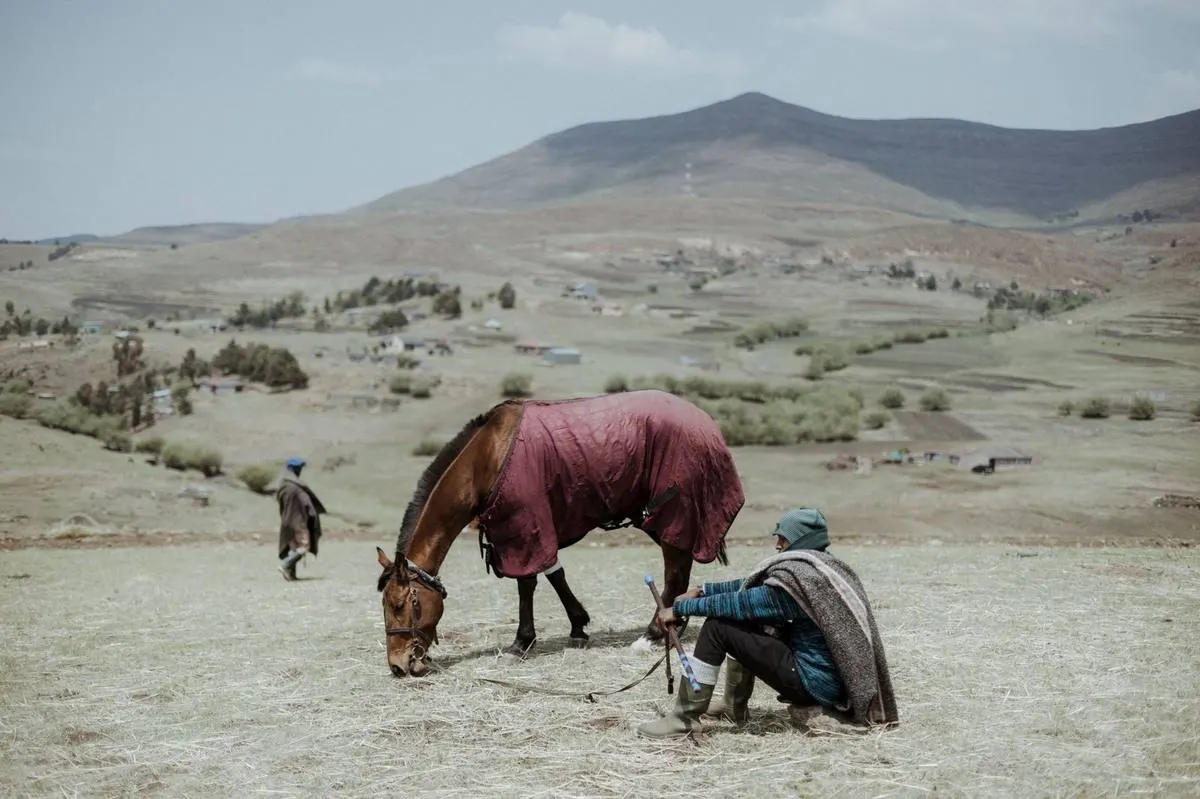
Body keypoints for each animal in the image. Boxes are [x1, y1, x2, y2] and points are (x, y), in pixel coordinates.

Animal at [375, 389, 746, 677]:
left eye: (398, 604)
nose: (397, 666)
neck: (488, 459)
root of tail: (706, 421)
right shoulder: (526, 529)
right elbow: (555, 574)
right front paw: (578, 627)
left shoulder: (523, 528)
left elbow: (527, 583)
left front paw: (521, 642)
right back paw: (674, 623)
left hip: (673, 512)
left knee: (675, 572)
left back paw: (652, 634)